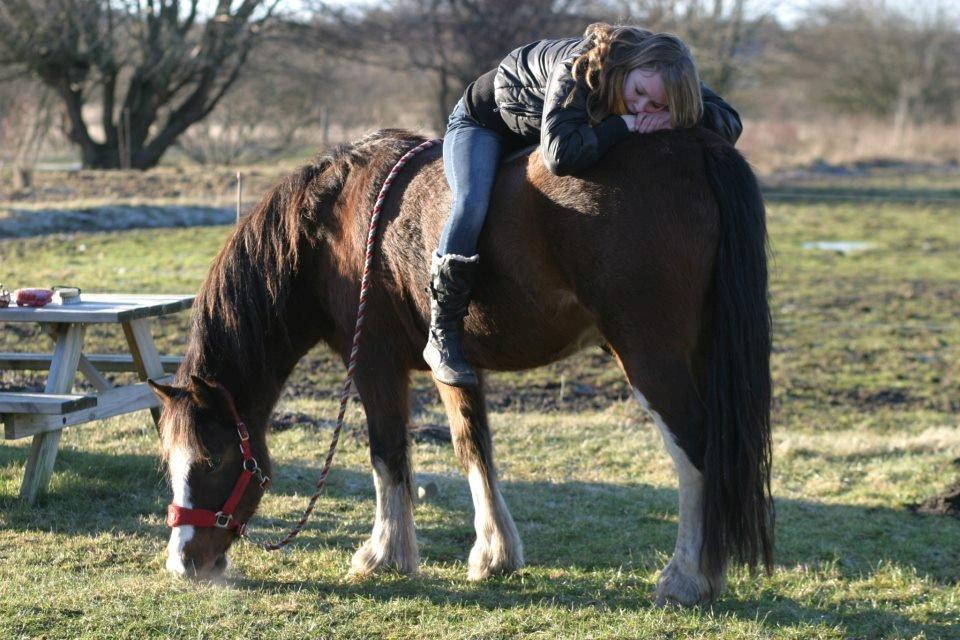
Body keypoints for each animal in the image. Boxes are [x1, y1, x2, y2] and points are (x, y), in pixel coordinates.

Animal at [148, 126, 772, 604]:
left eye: (212, 459)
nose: (184, 564)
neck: (333, 225)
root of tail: (695, 148)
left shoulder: (374, 364)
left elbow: (388, 454)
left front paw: (384, 554)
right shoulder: (453, 364)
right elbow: (473, 448)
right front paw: (495, 555)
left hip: (650, 358)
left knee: (697, 452)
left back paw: (686, 579)